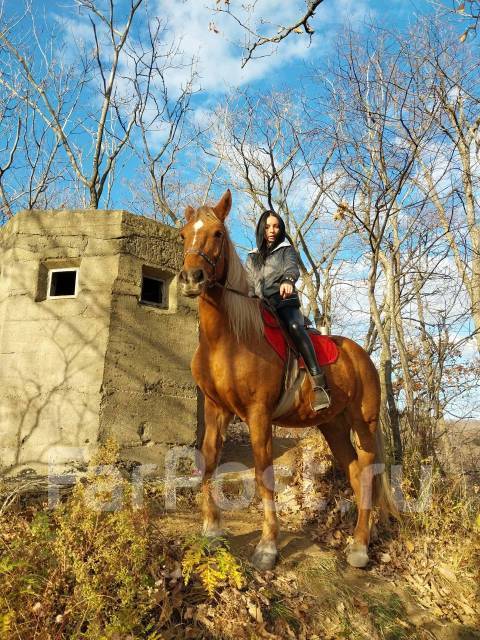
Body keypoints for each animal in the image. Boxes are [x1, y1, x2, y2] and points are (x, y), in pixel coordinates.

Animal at [178, 189, 396, 568]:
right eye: (183, 234)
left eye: (218, 233)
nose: (193, 278)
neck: (228, 338)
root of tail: (362, 357)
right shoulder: (216, 409)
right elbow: (208, 462)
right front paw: (212, 528)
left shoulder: (258, 415)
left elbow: (263, 475)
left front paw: (268, 547)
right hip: (333, 426)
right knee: (355, 474)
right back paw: (360, 538)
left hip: (364, 424)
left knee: (368, 474)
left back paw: (360, 547)